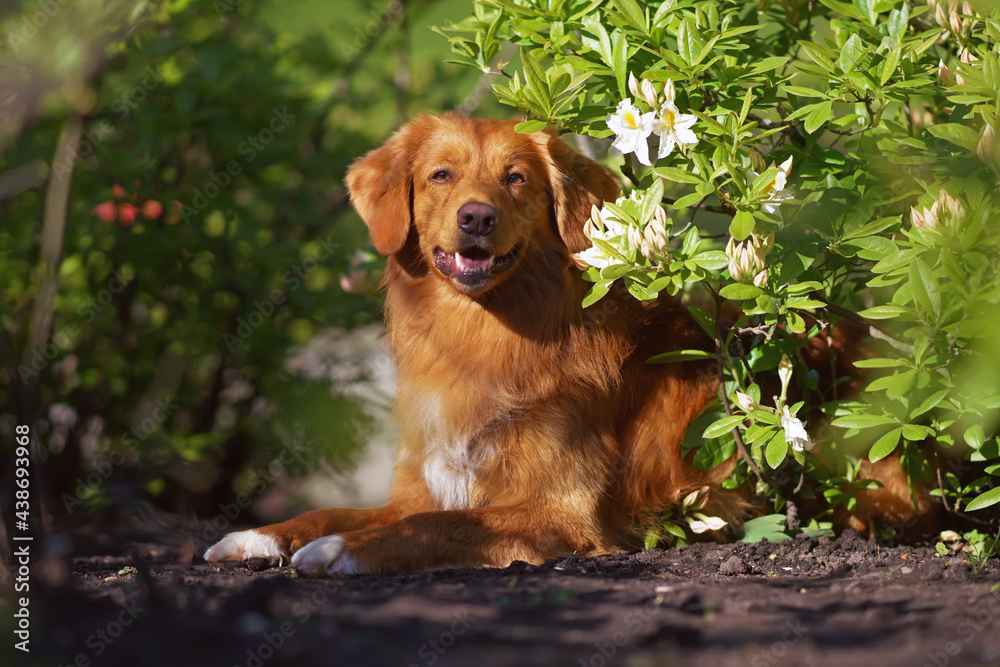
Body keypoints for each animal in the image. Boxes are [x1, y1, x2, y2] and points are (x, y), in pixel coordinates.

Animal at [205, 113, 928, 576]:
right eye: (440, 175)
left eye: (516, 178)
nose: (477, 217)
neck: (481, 334)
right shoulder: (425, 485)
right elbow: (340, 508)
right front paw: (260, 534)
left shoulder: (559, 513)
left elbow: (433, 526)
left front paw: (338, 551)